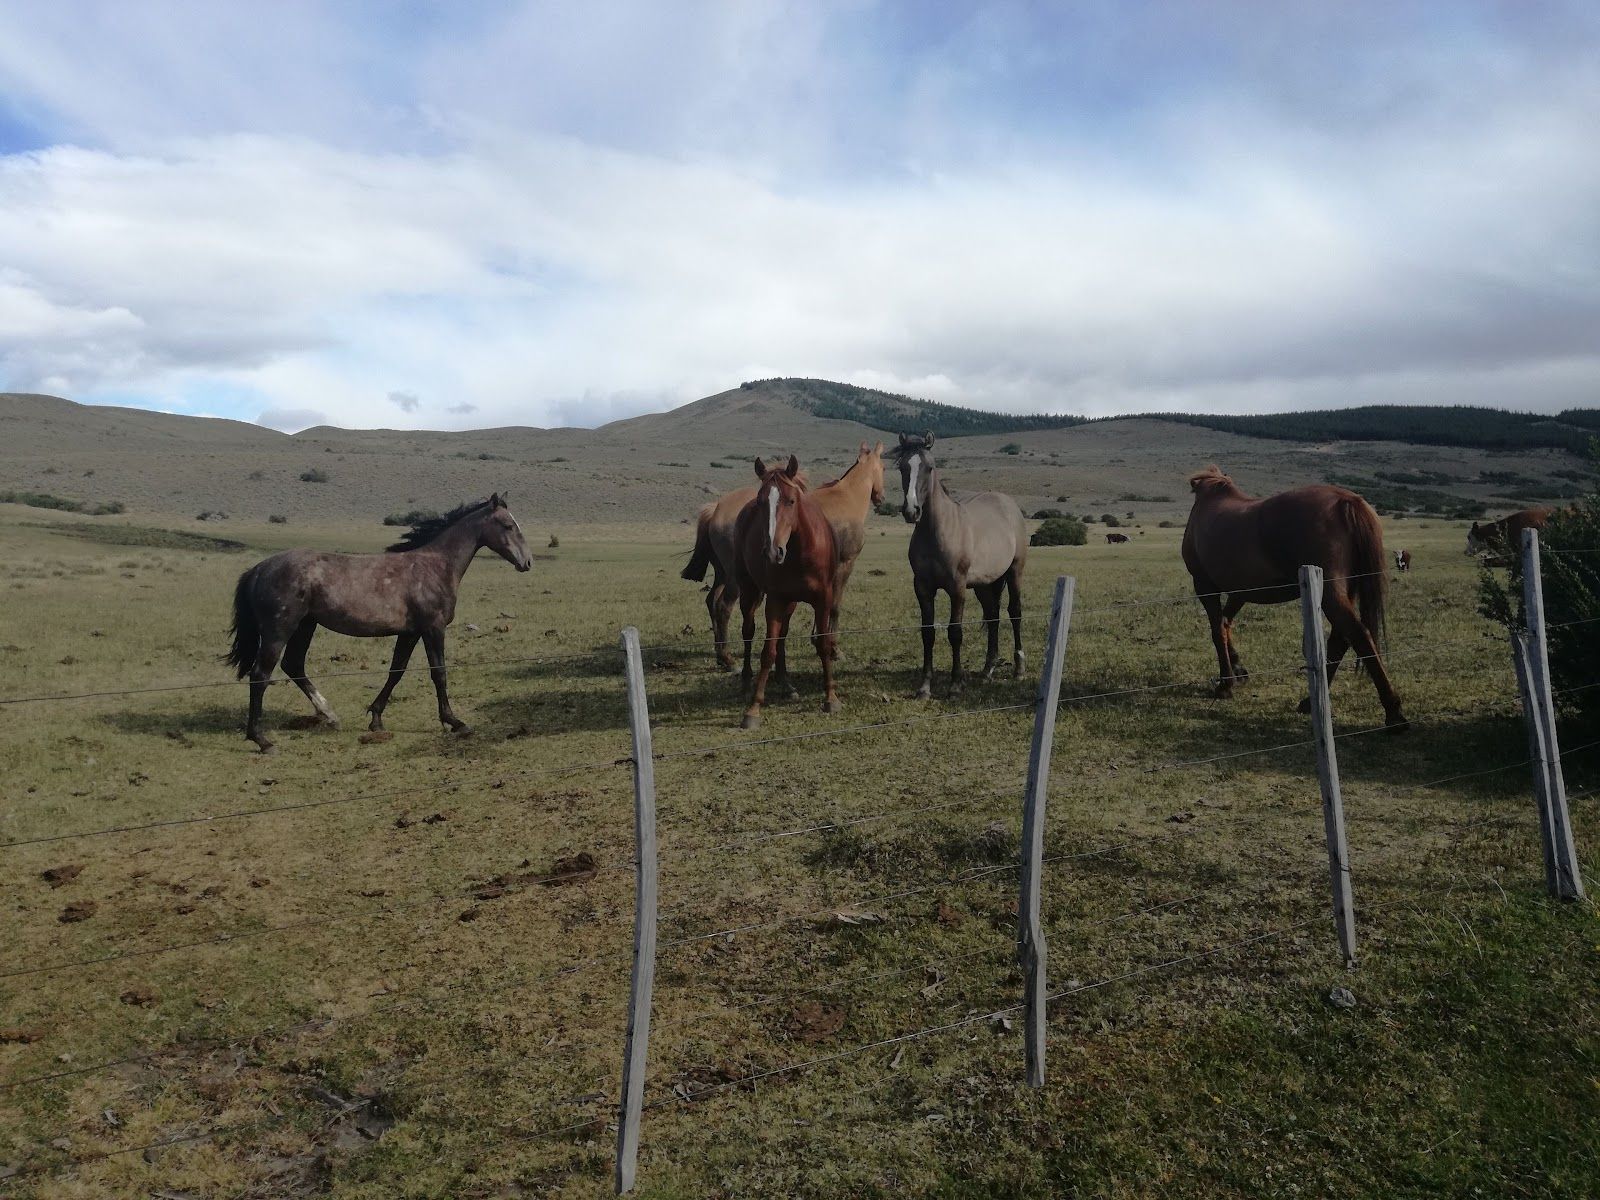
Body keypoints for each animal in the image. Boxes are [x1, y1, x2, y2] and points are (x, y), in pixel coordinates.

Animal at [225, 494, 532, 752]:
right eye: (508, 525)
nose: (527, 562)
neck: (434, 567)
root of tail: (259, 569)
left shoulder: (410, 633)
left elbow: (396, 672)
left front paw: (375, 718)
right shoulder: (433, 629)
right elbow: (439, 673)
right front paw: (455, 722)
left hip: (304, 626)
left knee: (293, 666)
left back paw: (330, 715)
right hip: (279, 630)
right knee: (260, 675)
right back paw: (262, 740)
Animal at [683, 442, 884, 667]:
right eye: (884, 468)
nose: (881, 497)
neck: (847, 498)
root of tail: (716, 509)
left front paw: (817, 640)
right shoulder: (845, 565)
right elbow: (835, 607)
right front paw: (833, 649)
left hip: (723, 574)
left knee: (711, 601)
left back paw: (720, 653)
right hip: (736, 579)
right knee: (723, 607)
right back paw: (728, 659)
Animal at [732, 456, 839, 729]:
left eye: (791, 500)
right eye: (761, 502)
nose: (773, 552)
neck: (801, 552)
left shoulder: (823, 600)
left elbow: (823, 643)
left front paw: (831, 697)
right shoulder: (775, 601)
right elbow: (767, 651)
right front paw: (753, 709)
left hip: (790, 603)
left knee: (783, 636)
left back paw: (786, 685)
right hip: (749, 591)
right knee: (748, 631)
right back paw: (746, 682)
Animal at [893, 431, 1027, 699]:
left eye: (929, 467)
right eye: (902, 467)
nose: (912, 511)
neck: (938, 531)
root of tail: (1008, 505)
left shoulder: (956, 588)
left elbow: (955, 633)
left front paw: (956, 684)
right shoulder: (923, 588)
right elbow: (928, 633)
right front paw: (924, 687)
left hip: (1014, 572)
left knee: (1014, 612)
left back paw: (1018, 668)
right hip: (984, 585)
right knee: (993, 616)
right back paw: (987, 670)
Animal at [1181, 467, 1406, 730]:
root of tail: (1346, 500)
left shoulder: (1205, 586)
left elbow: (1217, 632)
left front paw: (1226, 684)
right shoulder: (1240, 591)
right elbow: (1226, 625)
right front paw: (1238, 669)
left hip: (1330, 593)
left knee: (1358, 635)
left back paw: (1393, 711)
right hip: (1345, 591)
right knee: (1340, 639)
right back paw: (1310, 702)